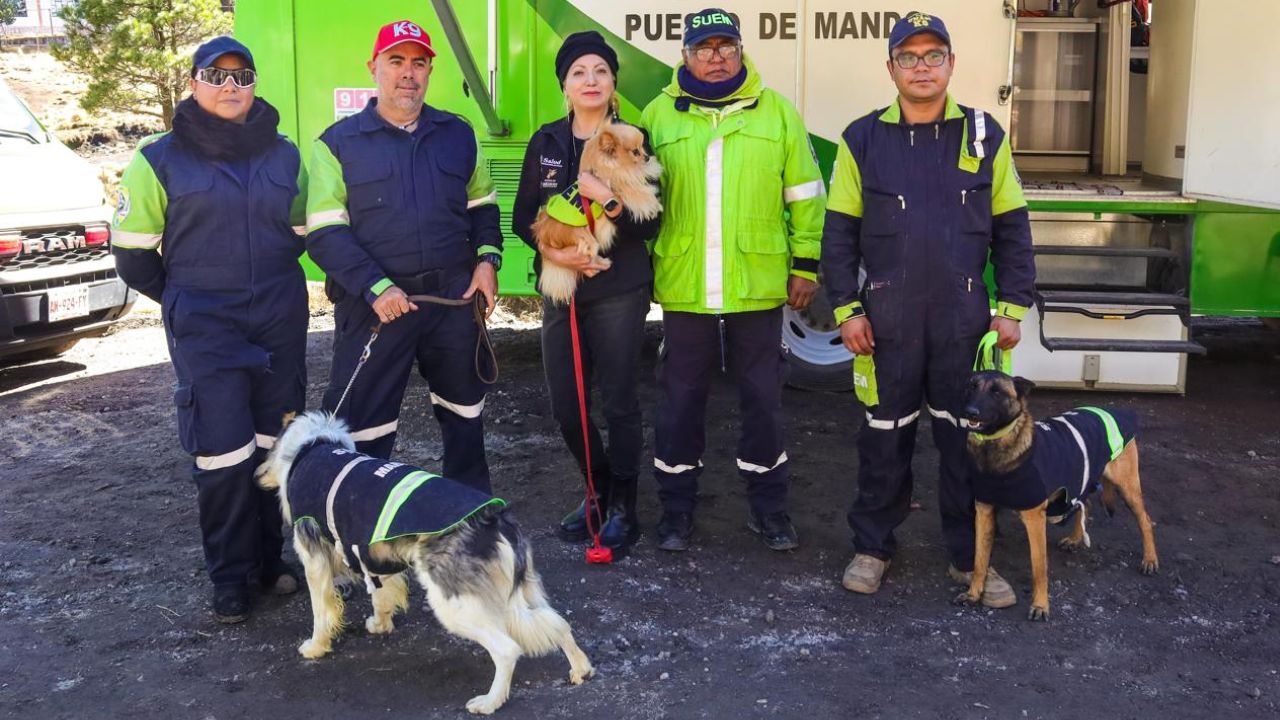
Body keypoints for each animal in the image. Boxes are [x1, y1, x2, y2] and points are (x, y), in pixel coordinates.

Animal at [529, 121, 660, 301]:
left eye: (642, 147)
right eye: (635, 151)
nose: (646, 157)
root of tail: (544, 232)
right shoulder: (618, 188)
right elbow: (635, 192)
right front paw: (652, 203)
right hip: (587, 238)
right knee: (590, 255)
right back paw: (602, 263)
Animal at [952, 368, 1162, 617]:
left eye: (996, 391)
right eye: (971, 387)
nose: (970, 411)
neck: (995, 448)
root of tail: (1110, 409)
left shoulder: (1034, 518)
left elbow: (1039, 567)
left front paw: (1040, 605)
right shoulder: (984, 511)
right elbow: (979, 560)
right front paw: (974, 594)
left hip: (1127, 487)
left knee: (1145, 520)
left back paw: (1150, 559)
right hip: (1079, 478)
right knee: (1086, 504)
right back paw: (1075, 539)